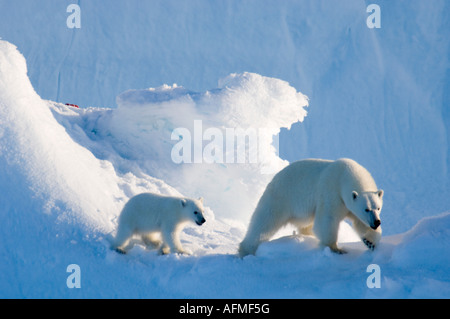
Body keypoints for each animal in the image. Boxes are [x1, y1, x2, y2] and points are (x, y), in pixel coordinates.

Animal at [239, 159, 384, 256]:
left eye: (378, 208)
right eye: (366, 209)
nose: (377, 222)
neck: (345, 174)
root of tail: (273, 179)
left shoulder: (351, 207)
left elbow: (360, 222)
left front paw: (370, 242)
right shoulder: (332, 193)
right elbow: (328, 219)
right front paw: (336, 249)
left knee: (305, 225)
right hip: (281, 198)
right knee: (264, 222)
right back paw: (246, 250)